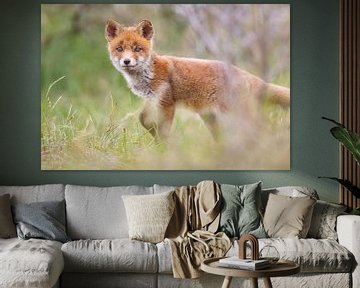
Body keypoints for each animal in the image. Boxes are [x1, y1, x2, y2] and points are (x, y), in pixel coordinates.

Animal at [104, 18, 290, 140]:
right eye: (119, 49)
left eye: (137, 49)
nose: (126, 61)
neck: (148, 74)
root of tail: (247, 74)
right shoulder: (152, 99)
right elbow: (142, 119)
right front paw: (155, 136)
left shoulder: (167, 103)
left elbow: (164, 129)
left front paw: (164, 147)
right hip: (211, 118)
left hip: (238, 115)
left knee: (262, 130)